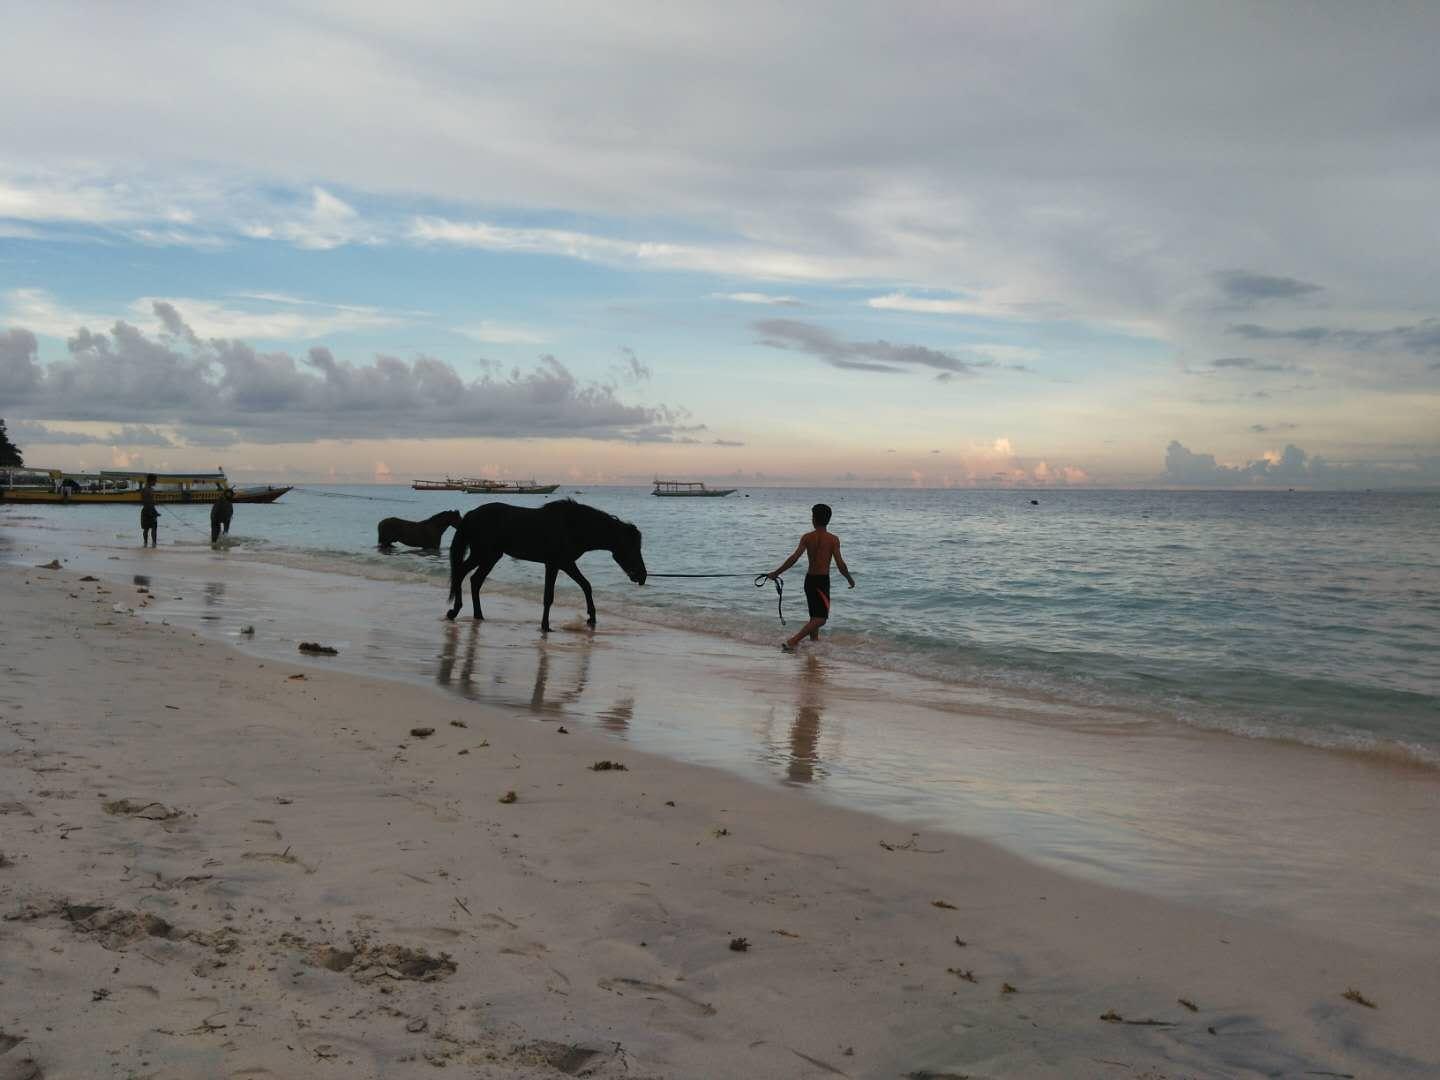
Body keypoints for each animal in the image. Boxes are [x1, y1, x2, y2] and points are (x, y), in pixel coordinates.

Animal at [446, 501, 650, 633]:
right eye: (632, 548)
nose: (642, 576)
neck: (573, 526)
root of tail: (471, 515)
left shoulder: (566, 563)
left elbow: (586, 585)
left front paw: (591, 618)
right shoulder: (554, 564)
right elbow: (549, 596)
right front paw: (545, 626)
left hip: (491, 556)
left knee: (475, 580)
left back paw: (478, 615)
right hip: (483, 554)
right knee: (461, 573)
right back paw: (455, 611)